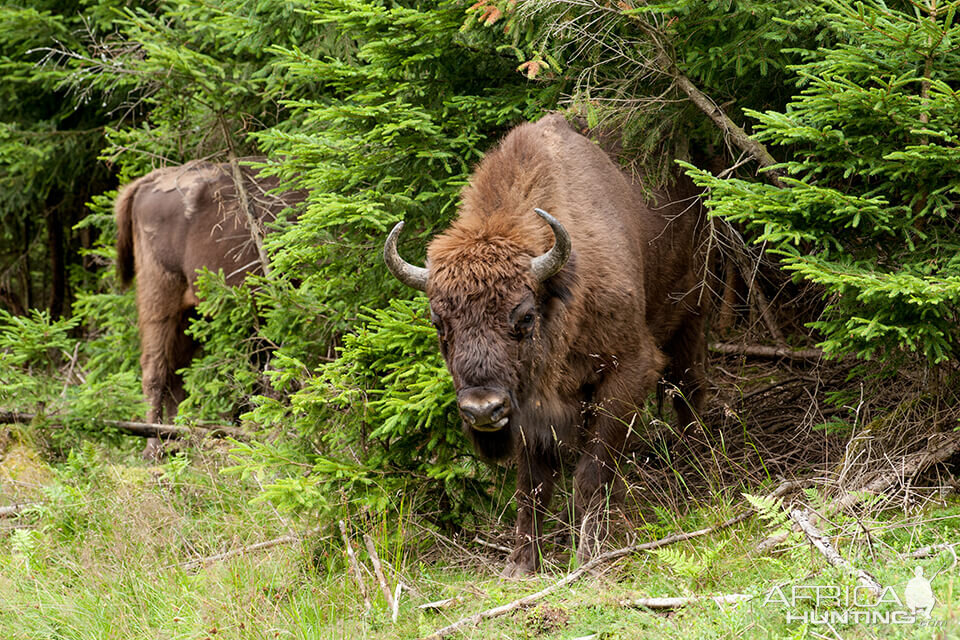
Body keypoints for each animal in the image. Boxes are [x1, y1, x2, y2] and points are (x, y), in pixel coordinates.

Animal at [116, 160, 304, 450]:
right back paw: (154, 447)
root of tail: (150, 179)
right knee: (155, 369)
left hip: (191, 312)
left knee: (177, 374)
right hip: (160, 293)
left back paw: (178, 439)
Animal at [386, 112, 708, 576]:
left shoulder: (628, 371)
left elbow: (590, 473)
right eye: (438, 323)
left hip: (693, 315)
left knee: (689, 390)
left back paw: (699, 468)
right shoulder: (526, 407)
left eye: (523, 316)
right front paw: (521, 564)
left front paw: (589, 556)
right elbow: (532, 485)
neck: (561, 291)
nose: (482, 409)